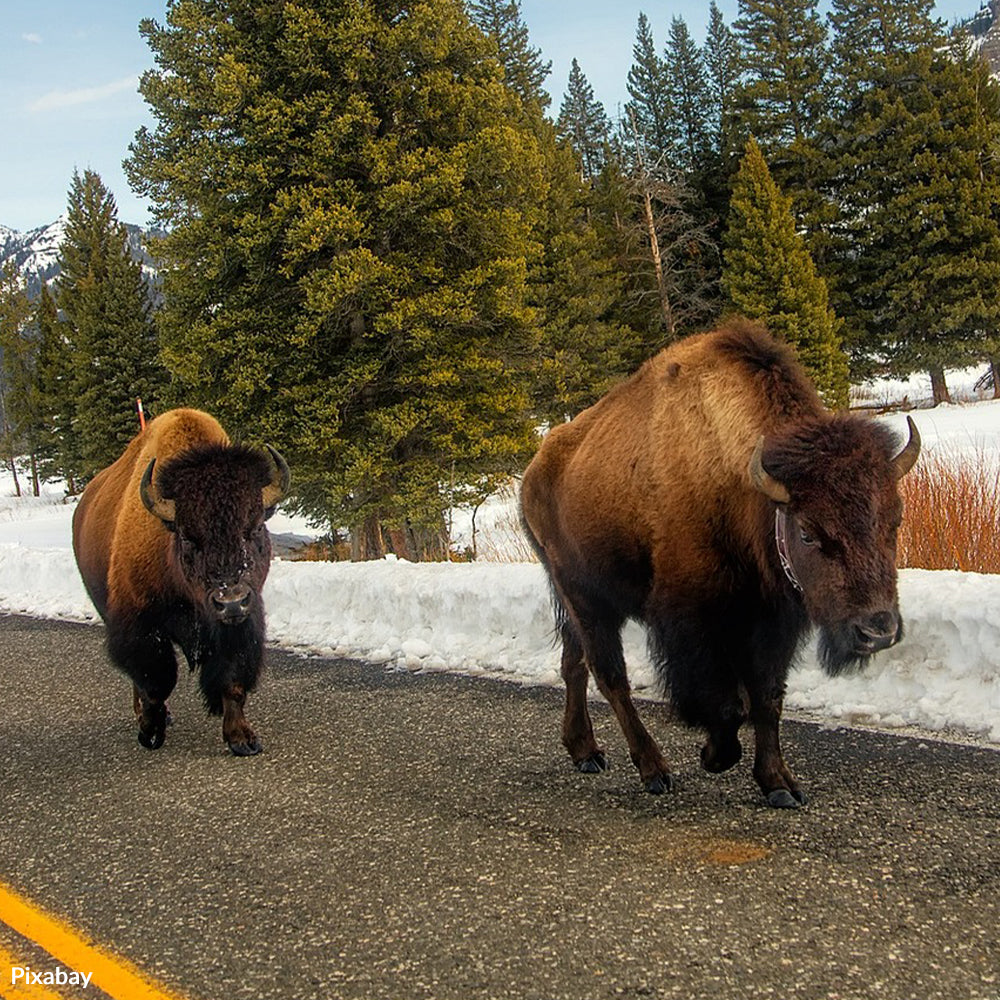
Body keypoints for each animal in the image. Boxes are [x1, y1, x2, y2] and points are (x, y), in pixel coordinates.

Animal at [71, 404, 288, 752]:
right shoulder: (141, 626)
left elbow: (232, 679)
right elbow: (156, 682)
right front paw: (150, 732)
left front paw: (242, 739)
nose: (231, 602)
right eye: (187, 538)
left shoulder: (241, 624)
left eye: (255, 528)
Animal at [524, 320, 920, 804]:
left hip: (580, 603)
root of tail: (535, 470)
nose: (877, 631)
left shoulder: (771, 621)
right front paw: (714, 756)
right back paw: (654, 770)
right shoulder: (692, 622)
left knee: (574, 664)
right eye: (807, 532)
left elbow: (767, 698)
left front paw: (779, 785)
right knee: (610, 676)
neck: (739, 484)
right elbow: (728, 703)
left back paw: (586, 752)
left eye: (895, 519)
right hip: (584, 596)